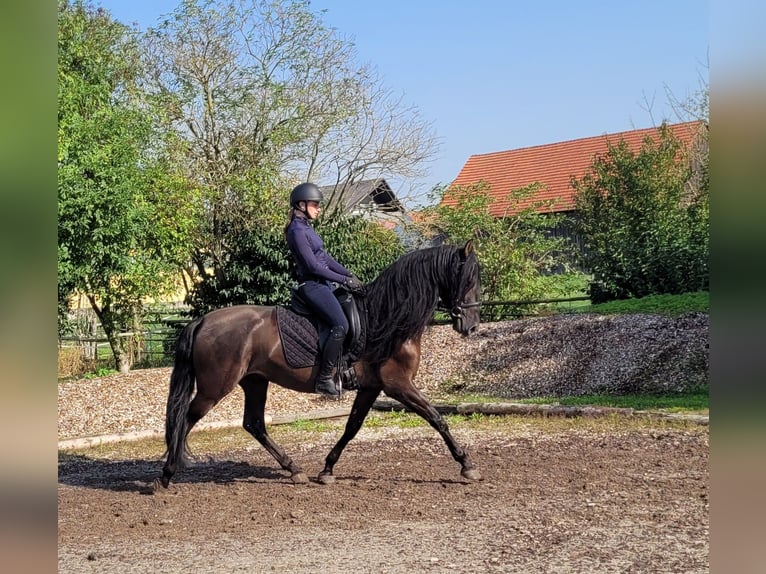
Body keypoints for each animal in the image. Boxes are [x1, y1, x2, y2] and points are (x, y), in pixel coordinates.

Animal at [155, 242, 480, 490]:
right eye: (467, 280)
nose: (472, 326)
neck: (386, 319)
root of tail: (203, 321)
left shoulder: (372, 387)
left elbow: (352, 427)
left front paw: (327, 470)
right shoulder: (397, 384)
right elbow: (436, 418)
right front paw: (467, 464)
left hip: (255, 381)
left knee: (254, 424)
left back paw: (294, 470)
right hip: (215, 387)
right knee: (186, 418)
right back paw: (167, 475)